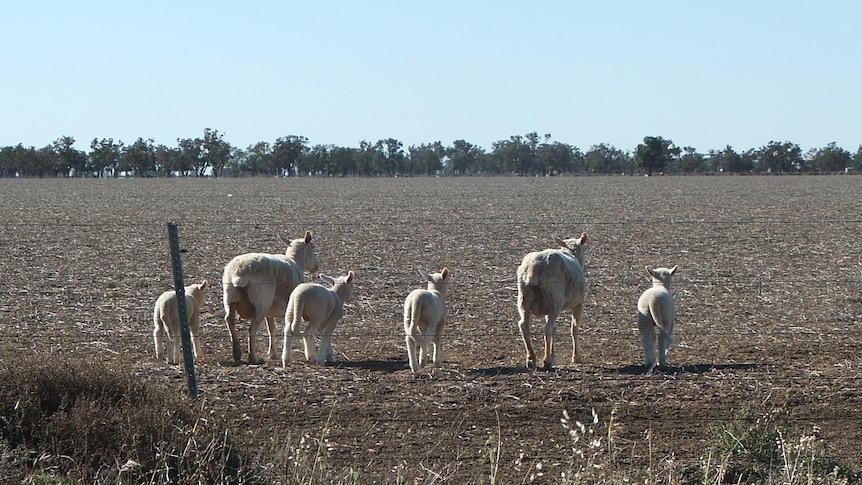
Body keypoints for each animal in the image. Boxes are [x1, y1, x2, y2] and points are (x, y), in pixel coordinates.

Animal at [221, 231, 318, 364]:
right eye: (313, 248)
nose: (316, 267)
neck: (297, 262)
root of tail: (239, 272)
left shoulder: (270, 312)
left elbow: (272, 329)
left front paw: (272, 353)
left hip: (230, 297)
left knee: (230, 320)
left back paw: (237, 353)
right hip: (261, 301)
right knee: (252, 329)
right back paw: (253, 357)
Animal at [516, 233, 592, 368]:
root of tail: (534, 268)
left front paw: (553, 354)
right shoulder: (578, 304)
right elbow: (574, 328)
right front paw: (576, 357)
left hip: (524, 297)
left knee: (524, 325)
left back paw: (531, 358)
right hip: (554, 299)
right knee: (548, 327)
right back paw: (546, 360)